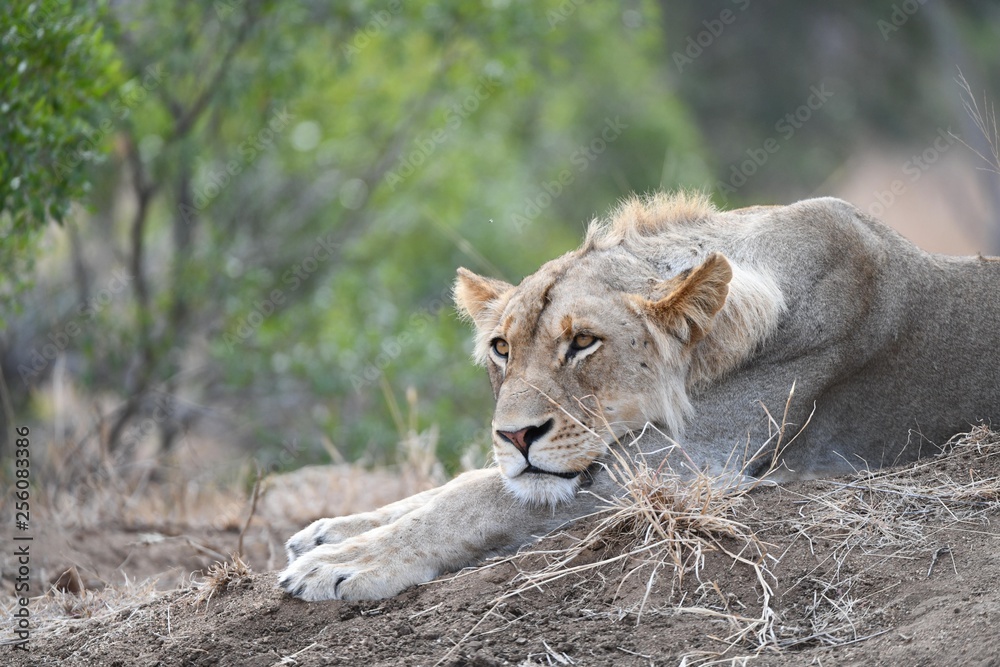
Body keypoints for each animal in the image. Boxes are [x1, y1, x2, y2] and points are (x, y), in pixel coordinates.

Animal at [279, 193, 1000, 601]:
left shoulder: (682, 468)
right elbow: (468, 480)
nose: (514, 436)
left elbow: (479, 496)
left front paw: (344, 561)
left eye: (583, 343)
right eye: (502, 348)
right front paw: (332, 529)